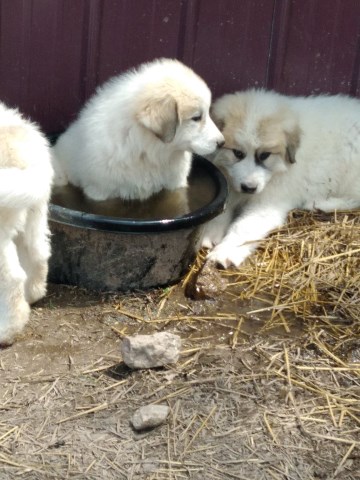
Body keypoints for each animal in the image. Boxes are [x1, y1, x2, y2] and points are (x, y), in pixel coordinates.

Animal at [201, 88, 360, 268]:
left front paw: (225, 251)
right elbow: (219, 211)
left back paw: (320, 204)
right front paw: (209, 233)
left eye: (264, 155)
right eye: (238, 153)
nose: (249, 188)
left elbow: (243, 228)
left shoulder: (267, 204)